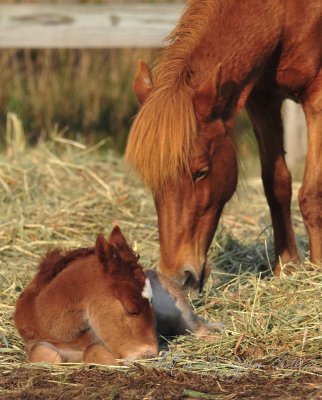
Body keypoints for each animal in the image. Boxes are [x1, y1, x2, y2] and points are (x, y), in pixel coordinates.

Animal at [126, 0, 322, 290]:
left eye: (200, 172)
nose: (177, 278)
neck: (284, 13)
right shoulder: (262, 100)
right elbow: (276, 185)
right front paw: (286, 268)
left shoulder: (316, 98)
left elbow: (311, 195)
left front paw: (316, 271)